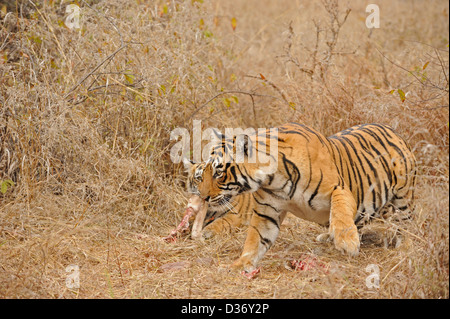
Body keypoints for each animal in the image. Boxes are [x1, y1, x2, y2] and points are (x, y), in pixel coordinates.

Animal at [182, 123, 414, 276]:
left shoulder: (339, 188)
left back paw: (405, 247)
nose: (203, 196)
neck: (272, 178)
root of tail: (391, 130)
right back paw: (327, 237)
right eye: (202, 175)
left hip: (403, 198)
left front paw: (347, 242)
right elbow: (255, 241)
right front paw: (239, 264)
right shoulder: (267, 212)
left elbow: (340, 210)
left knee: (406, 223)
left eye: (218, 172)